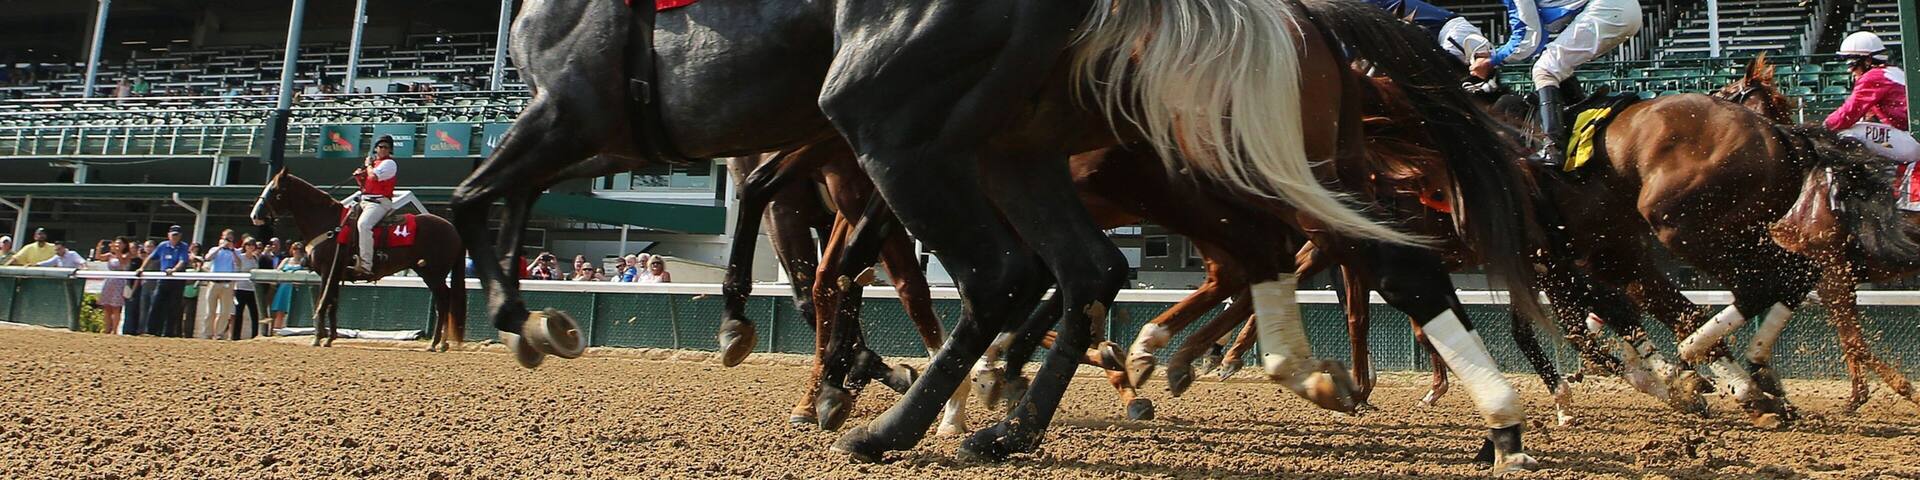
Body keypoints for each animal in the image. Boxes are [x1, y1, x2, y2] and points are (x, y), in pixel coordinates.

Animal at [248, 171, 467, 352]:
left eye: (274, 190)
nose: (255, 215)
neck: (330, 224)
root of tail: (453, 229)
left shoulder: (327, 271)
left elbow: (323, 301)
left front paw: (318, 338)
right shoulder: (335, 274)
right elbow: (333, 302)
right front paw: (330, 338)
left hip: (433, 274)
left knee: (443, 302)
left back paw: (436, 343)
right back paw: (441, 343)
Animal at [1714, 54, 1920, 412]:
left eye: (1727, 92)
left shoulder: (1833, 270)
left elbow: (1854, 340)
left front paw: (1906, 389)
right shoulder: (1828, 277)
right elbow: (1848, 337)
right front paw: (1857, 395)